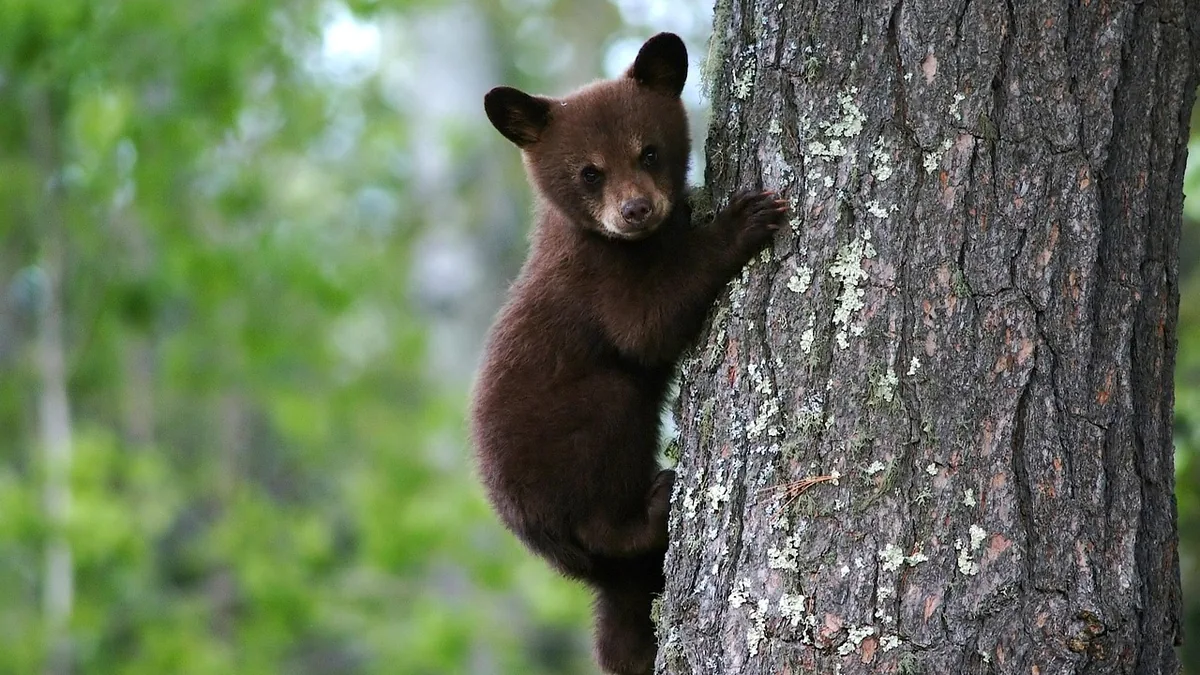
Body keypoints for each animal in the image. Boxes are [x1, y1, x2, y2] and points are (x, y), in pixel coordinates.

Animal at [470, 32, 788, 675]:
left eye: (649, 152)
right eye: (589, 172)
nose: (636, 209)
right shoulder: (596, 279)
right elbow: (647, 324)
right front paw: (744, 219)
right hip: (574, 443)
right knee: (604, 486)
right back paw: (656, 503)